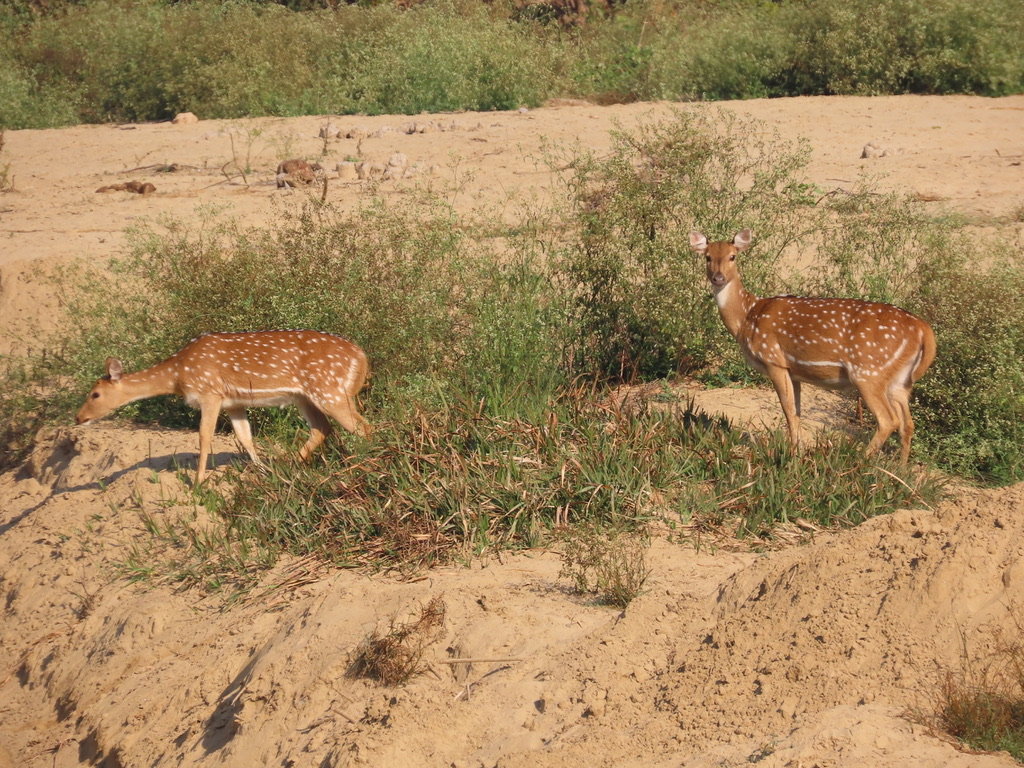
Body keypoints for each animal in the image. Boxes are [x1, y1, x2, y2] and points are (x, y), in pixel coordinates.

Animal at [75, 331, 372, 487]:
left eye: (95, 394)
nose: (79, 418)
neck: (177, 374)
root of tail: (362, 357)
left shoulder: (210, 392)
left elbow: (204, 436)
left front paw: (197, 483)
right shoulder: (234, 402)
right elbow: (245, 437)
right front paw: (261, 472)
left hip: (329, 389)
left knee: (362, 427)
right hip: (306, 396)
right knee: (323, 427)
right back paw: (287, 468)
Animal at [692, 230, 937, 462]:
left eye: (732, 256)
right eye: (707, 257)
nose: (718, 277)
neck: (747, 316)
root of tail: (923, 329)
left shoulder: (774, 360)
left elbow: (788, 410)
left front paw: (792, 456)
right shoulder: (794, 371)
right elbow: (797, 411)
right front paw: (798, 452)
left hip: (869, 371)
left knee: (888, 420)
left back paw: (857, 463)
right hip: (901, 380)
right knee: (907, 424)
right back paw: (900, 471)